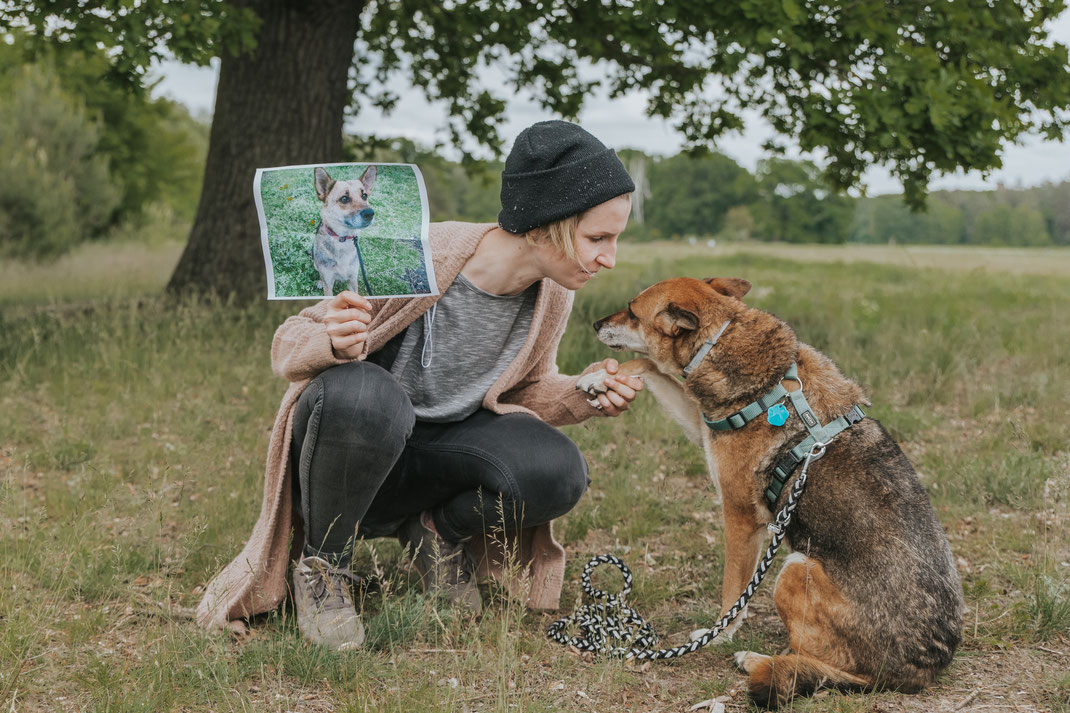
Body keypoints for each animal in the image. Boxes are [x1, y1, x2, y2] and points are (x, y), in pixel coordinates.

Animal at [312, 164, 378, 295]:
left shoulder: (353, 280)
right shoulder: (328, 284)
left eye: (364, 196)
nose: (370, 213)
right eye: (344, 198)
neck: (342, 239)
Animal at [582, 274, 967, 702]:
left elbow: (732, 595)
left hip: (794, 569)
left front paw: (719, 636)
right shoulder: (700, 426)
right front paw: (599, 378)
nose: (595, 324)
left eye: (632, 311)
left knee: (815, 660)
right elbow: (650, 365)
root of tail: (918, 673)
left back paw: (756, 660)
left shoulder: (740, 517)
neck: (724, 336)